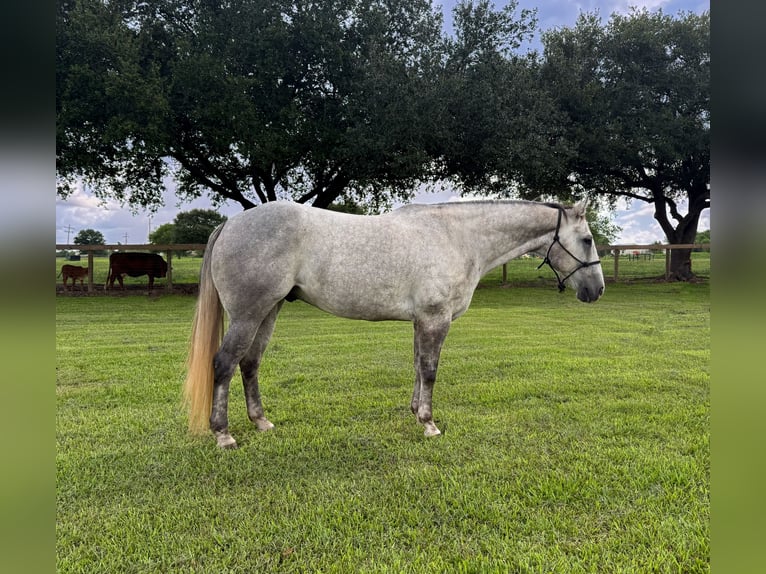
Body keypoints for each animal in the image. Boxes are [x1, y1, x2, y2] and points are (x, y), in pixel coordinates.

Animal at [184, 199, 605, 448]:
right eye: (586, 240)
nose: (596, 289)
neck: (457, 237)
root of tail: (230, 224)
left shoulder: (422, 321)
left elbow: (418, 367)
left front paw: (416, 412)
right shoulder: (436, 319)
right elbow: (431, 370)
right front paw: (430, 424)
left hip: (268, 311)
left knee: (249, 363)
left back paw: (261, 422)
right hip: (248, 314)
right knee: (224, 364)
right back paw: (223, 434)